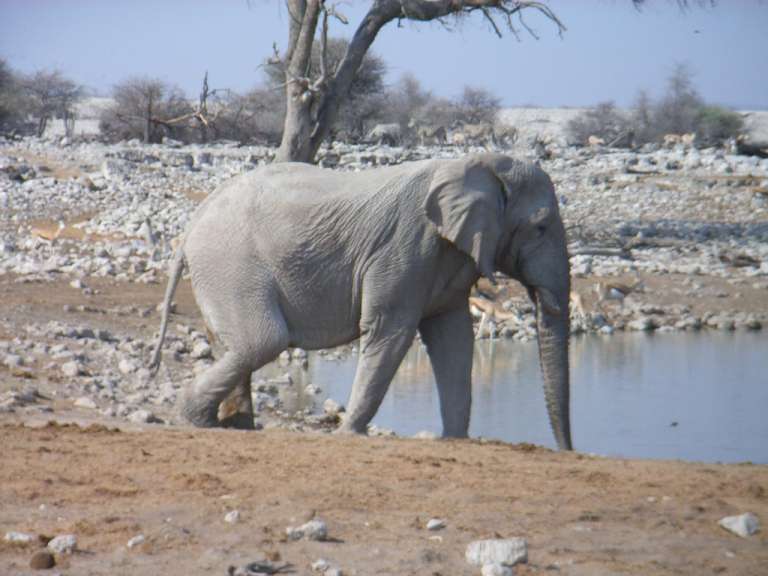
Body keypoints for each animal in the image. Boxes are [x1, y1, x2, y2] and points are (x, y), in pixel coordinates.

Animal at [149, 153, 573, 450]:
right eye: (540, 227)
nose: (568, 450)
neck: (475, 164)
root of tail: (192, 223)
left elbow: (453, 338)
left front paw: (455, 441)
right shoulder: (405, 246)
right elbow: (391, 331)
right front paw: (350, 434)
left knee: (240, 345)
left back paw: (232, 425)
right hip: (231, 264)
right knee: (263, 341)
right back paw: (195, 419)